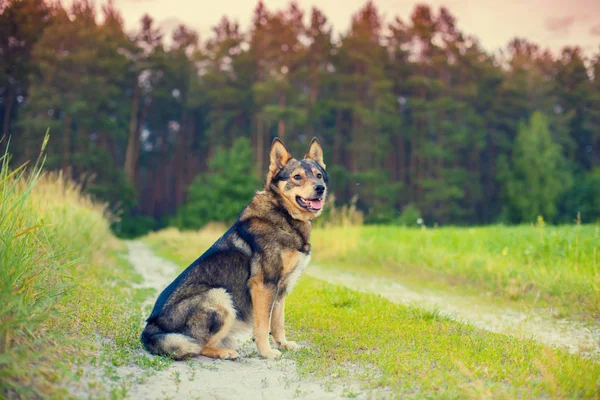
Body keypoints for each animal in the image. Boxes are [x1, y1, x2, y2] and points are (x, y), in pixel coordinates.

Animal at [141, 138, 328, 360]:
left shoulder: (281, 288)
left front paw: (283, 344)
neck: (283, 214)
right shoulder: (264, 285)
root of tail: (150, 330)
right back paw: (225, 352)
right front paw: (267, 352)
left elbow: (278, 323)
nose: (320, 188)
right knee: (198, 346)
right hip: (220, 297)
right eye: (297, 177)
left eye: (318, 175)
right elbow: (263, 326)